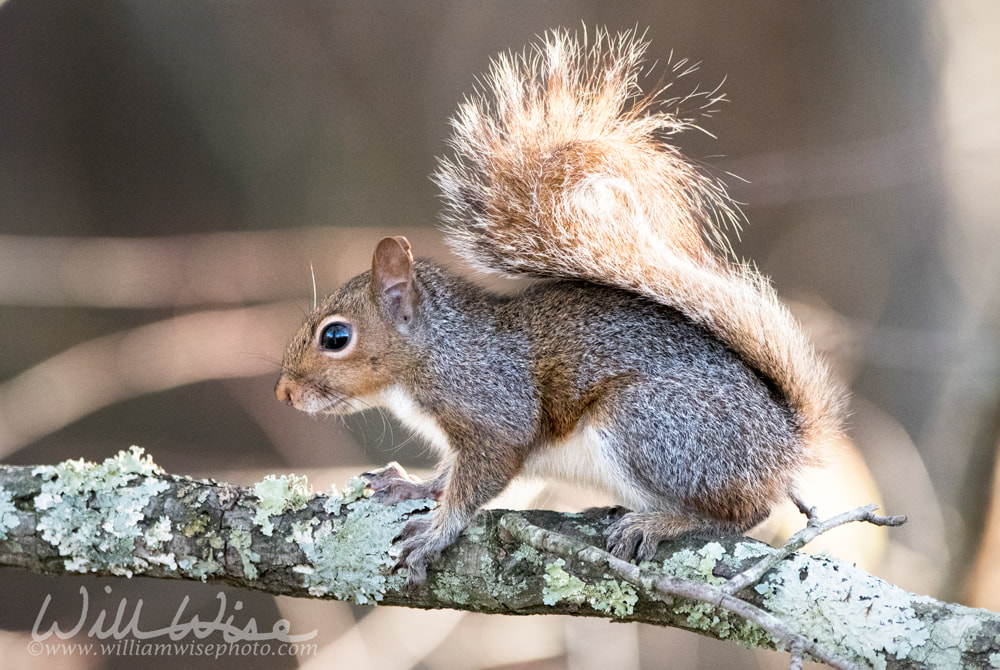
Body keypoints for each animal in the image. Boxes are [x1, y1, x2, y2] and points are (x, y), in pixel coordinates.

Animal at [274, 30, 844, 588]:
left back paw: (662, 521)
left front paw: (437, 532)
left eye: (335, 337)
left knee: (744, 513)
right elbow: (447, 474)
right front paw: (410, 485)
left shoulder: (494, 408)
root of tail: (785, 445)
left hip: (652, 424)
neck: (435, 351)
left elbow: (480, 479)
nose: (284, 394)